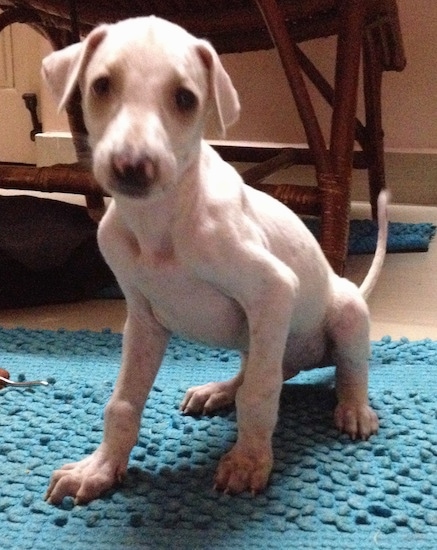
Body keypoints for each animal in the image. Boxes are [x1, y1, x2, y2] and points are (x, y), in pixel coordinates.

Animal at [42, 15, 386, 506]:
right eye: (102, 85)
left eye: (185, 98)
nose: (131, 167)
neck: (160, 223)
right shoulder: (143, 320)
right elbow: (122, 401)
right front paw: (100, 468)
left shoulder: (273, 289)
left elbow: (260, 393)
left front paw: (248, 463)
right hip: (258, 340)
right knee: (260, 369)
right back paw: (218, 390)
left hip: (343, 313)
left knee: (343, 368)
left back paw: (354, 408)